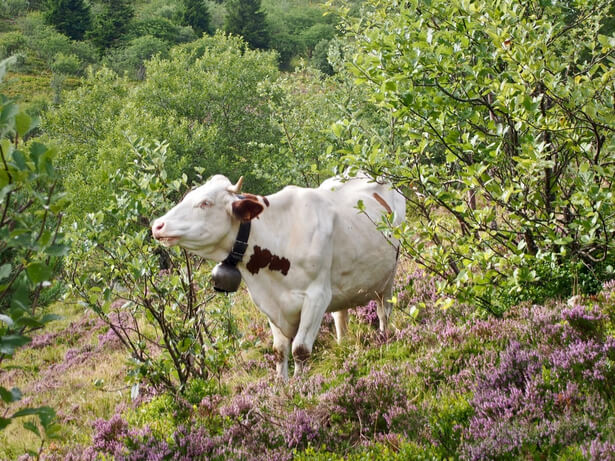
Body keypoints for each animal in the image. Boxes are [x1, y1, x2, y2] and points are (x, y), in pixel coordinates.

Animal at [152, 172, 406, 378]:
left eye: (206, 203)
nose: (157, 225)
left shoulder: (317, 296)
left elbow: (300, 350)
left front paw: (300, 387)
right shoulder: (270, 303)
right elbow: (279, 351)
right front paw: (281, 386)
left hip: (388, 277)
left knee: (384, 312)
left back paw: (384, 340)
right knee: (340, 318)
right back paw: (343, 347)